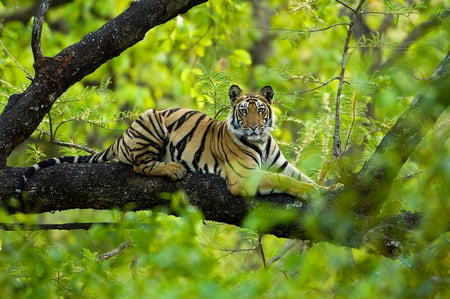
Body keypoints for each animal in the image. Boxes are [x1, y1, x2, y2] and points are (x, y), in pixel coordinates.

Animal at [12, 84, 340, 202]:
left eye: (260, 111)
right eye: (243, 112)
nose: (253, 127)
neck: (260, 142)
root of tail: (120, 137)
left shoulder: (280, 164)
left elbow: (299, 176)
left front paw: (329, 188)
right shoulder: (244, 177)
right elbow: (286, 181)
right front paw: (311, 192)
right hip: (152, 122)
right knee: (140, 167)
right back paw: (173, 169)